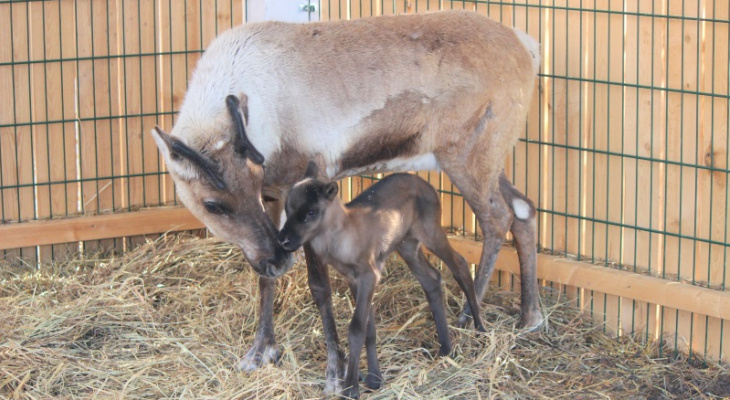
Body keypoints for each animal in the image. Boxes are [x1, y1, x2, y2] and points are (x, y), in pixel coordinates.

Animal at [278, 162, 484, 396]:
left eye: (311, 212)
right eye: (287, 209)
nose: (283, 240)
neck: (342, 235)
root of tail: (429, 186)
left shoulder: (369, 275)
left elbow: (356, 328)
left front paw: (351, 388)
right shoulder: (353, 279)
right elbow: (368, 328)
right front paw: (374, 378)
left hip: (430, 232)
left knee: (460, 265)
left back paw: (480, 330)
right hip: (407, 244)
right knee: (431, 278)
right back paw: (445, 348)